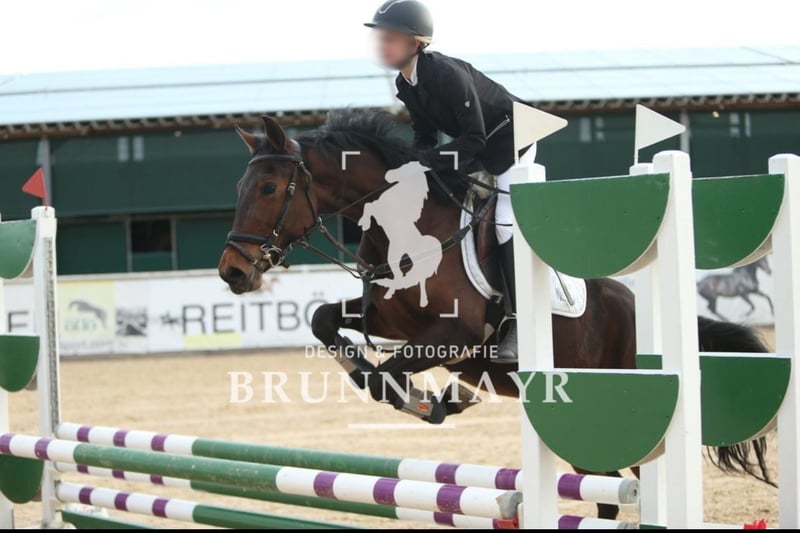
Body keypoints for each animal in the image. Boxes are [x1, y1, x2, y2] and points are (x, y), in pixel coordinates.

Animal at [217, 109, 773, 519]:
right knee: (607, 489)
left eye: (269, 189)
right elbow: (324, 322)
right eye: (240, 188)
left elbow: (386, 375)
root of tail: (635, 304)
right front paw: (416, 391)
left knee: (629, 481)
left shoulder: (455, 332)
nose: (232, 272)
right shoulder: (389, 319)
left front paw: (429, 401)